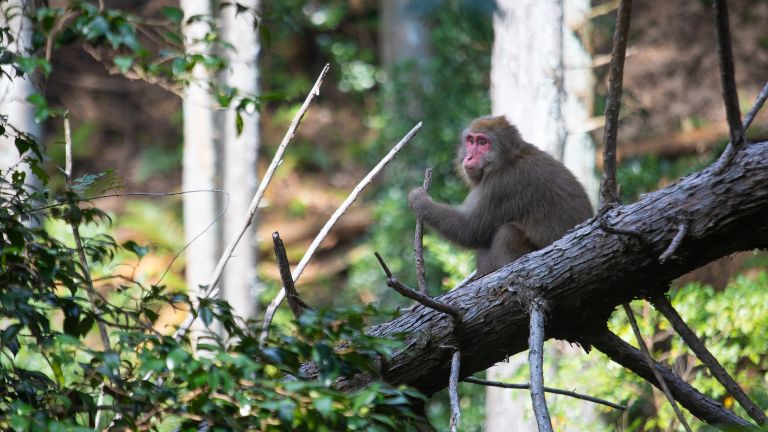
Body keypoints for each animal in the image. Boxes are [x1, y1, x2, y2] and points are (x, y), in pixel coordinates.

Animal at [408, 115, 592, 276]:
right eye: (471, 141)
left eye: (483, 143)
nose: (469, 157)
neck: (507, 160)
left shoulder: (502, 186)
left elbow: (470, 229)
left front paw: (420, 200)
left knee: (507, 233)